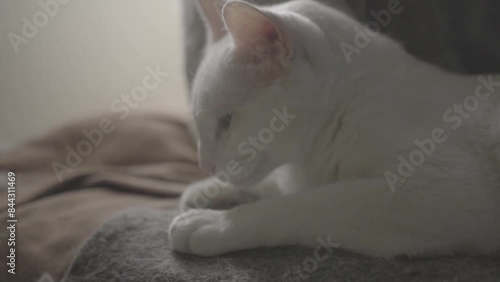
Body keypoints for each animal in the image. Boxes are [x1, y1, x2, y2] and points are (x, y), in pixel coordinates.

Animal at [169, 0, 500, 256]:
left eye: (226, 121)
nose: (206, 166)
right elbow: (276, 186)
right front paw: (207, 192)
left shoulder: (444, 187)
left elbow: (302, 204)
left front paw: (213, 222)